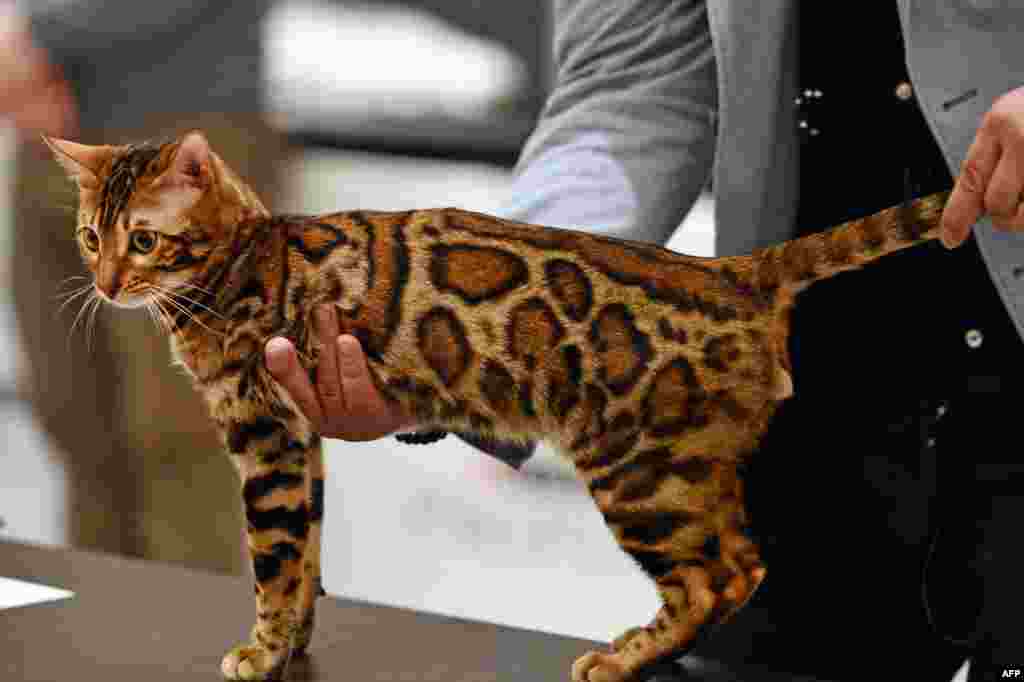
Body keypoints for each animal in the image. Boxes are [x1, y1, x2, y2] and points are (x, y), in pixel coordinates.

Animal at [41, 130, 950, 675]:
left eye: (144, 239)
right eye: (90, 236)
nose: (105, 282)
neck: (237, 261)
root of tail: (731, 272)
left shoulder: (263, 436)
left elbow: (273, 559)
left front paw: (260, 654)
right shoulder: (302, 438)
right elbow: (306, 561)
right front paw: (293, 646)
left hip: (639, 470)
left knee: (717, 576)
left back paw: (625, 658)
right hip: (683, 467)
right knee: (740, 565)